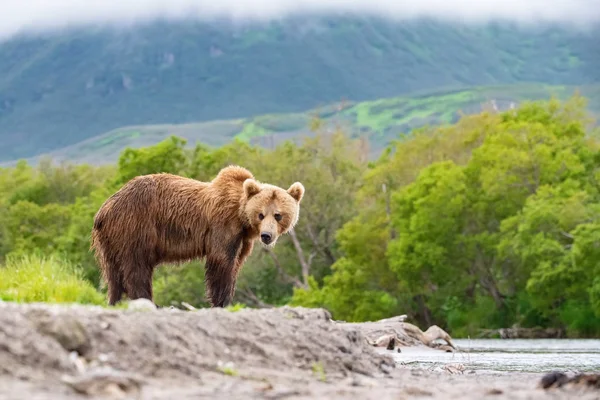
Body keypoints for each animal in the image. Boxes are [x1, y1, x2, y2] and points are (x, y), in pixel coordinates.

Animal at [90, 165, 304, 306]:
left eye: (278, 215)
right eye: (261, 214)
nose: (266, 235)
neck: (242, 219)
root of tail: (105, 209)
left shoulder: (242, 240)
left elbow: (235, 264)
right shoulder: (223, 226)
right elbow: (221, 262)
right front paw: (221, 301)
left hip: (111, 240)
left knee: (113, 274)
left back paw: (115, 300)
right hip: (135, 226)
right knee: (136, 268)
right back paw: (147, 300)